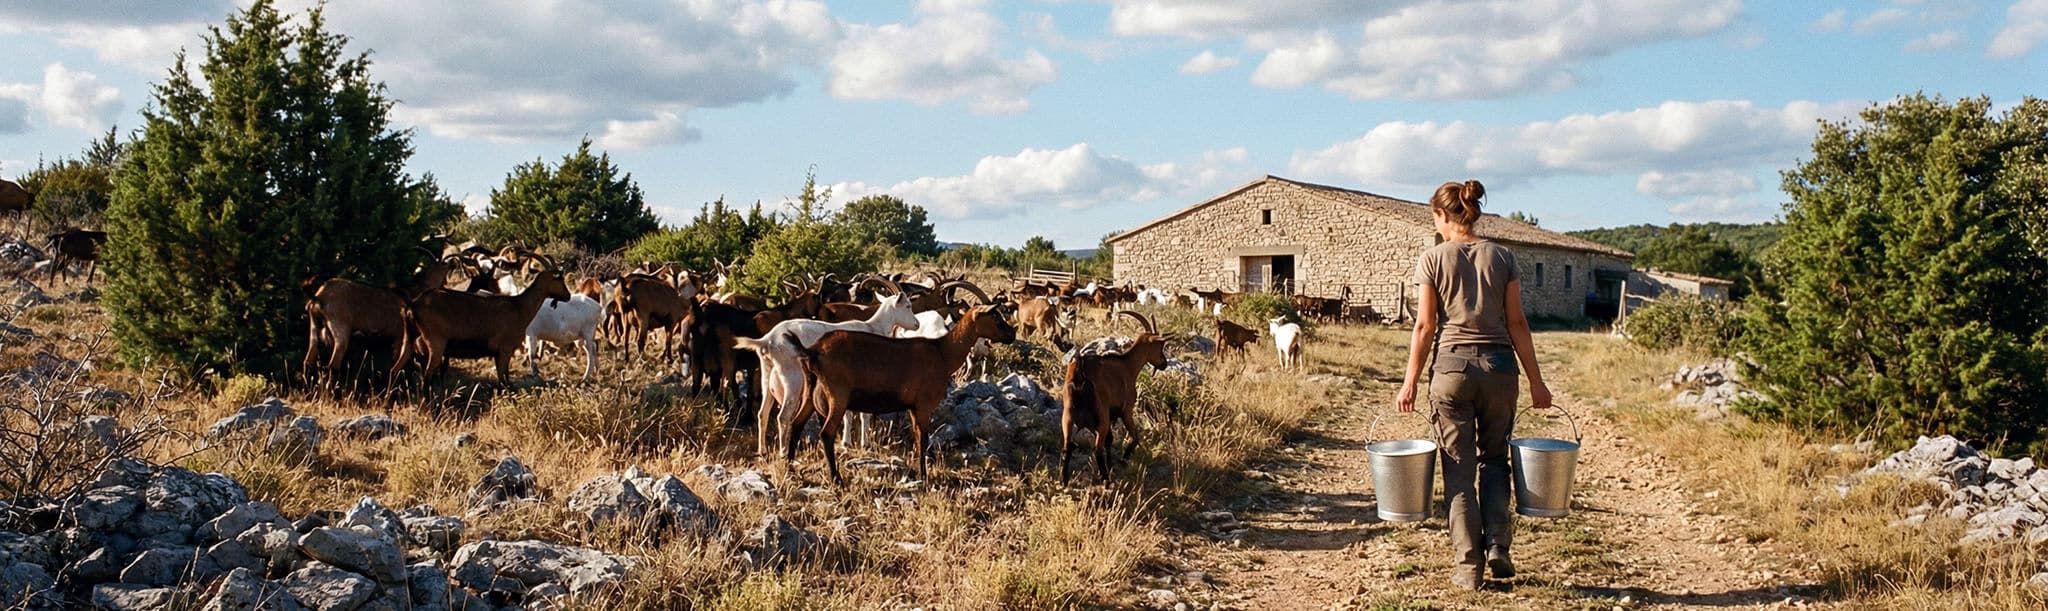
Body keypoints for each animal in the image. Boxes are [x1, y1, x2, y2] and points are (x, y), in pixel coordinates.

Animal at [392, 257, 571, 383]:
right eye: (559, 279)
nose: (568, 296)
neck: (518, 306)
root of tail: (412, 306)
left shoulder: (499, 354)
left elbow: (505, 379)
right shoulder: (504, 350)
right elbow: (503, 383)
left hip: (409, 339)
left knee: (394, 370)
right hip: (435, 344)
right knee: (427, 377)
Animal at [793, 297, 1016, 483]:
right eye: (996, 317)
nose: (1012, 335)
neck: (942, 352)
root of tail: (813, 351)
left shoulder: (912, 407)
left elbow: (917, 438)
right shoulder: (924, 405)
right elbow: (923, 439)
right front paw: (924, 477)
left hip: (810, 392)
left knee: (796, 424)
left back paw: (790, 467)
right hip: (837, 396)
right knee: (826, 433)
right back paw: (836, 478)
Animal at [1061, 311, 1173, 484]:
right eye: (1160, 346)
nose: (1164, 364)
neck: (1128, 365)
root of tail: (1080, 371)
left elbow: (1110, 439)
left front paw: (1111, 465)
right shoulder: (1125, 410)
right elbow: (1135, 437)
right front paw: (1123, 460)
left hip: (1068, 417)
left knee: (1067, 448)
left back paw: (1064, 481)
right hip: (1101, 415)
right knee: (1097, 449)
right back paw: (1106, 480)